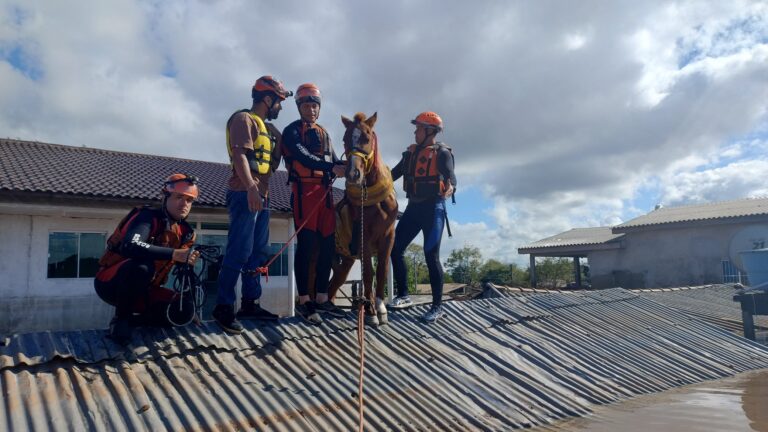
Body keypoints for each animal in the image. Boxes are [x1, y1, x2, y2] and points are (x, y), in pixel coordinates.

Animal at [326, 113, 396, 326]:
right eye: (345, 139)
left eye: (367, 137)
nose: (352, 174)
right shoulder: (364, 237)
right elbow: (368, 274)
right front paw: (371, 311)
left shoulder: (388, 236)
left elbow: (381, 270)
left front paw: (381, 308)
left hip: (345, 261)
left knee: (334, 284)